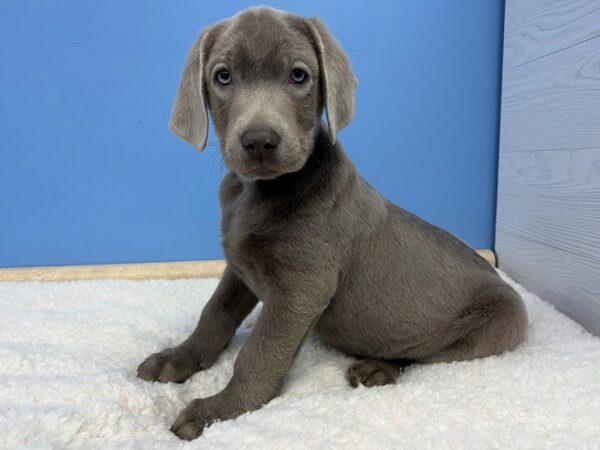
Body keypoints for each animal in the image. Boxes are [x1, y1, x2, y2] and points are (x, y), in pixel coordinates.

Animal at [138, 7, 528, 442]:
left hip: (498, 321)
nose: (260, 141)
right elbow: (214, 314)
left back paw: (379, 367)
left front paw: (218, 411)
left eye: (299, 75)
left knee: (423, 352)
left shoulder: (302, 289)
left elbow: (258, 354)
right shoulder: (238, 266)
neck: (258, 192)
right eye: (222, 77)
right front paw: (177, 358)